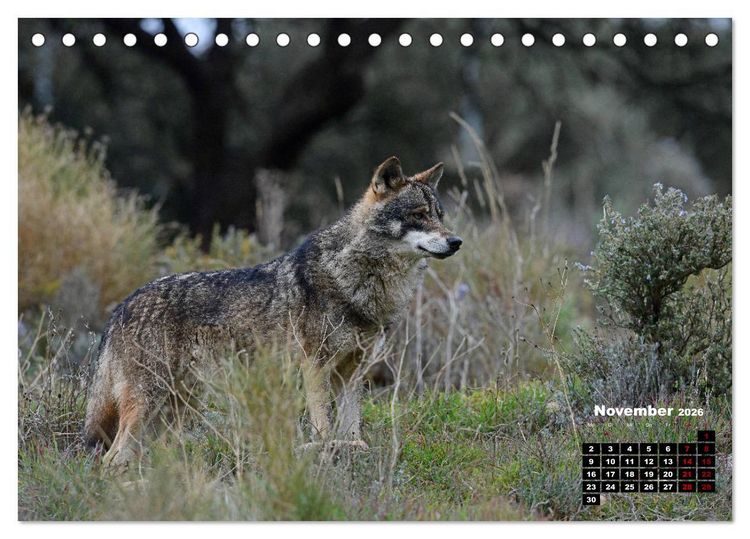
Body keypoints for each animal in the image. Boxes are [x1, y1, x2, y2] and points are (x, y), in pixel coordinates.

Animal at [83, 156, 463, 469]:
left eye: (440, 216)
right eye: (418, 215)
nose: (456, 241)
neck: (357, 278)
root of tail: (121, 307)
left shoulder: (353, 372)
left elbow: (352, 426)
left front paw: (352, 449)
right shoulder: (315, 366)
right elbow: (323, 426)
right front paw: (325, 452)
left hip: (176, 407)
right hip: (152, 402)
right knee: (113, 458)